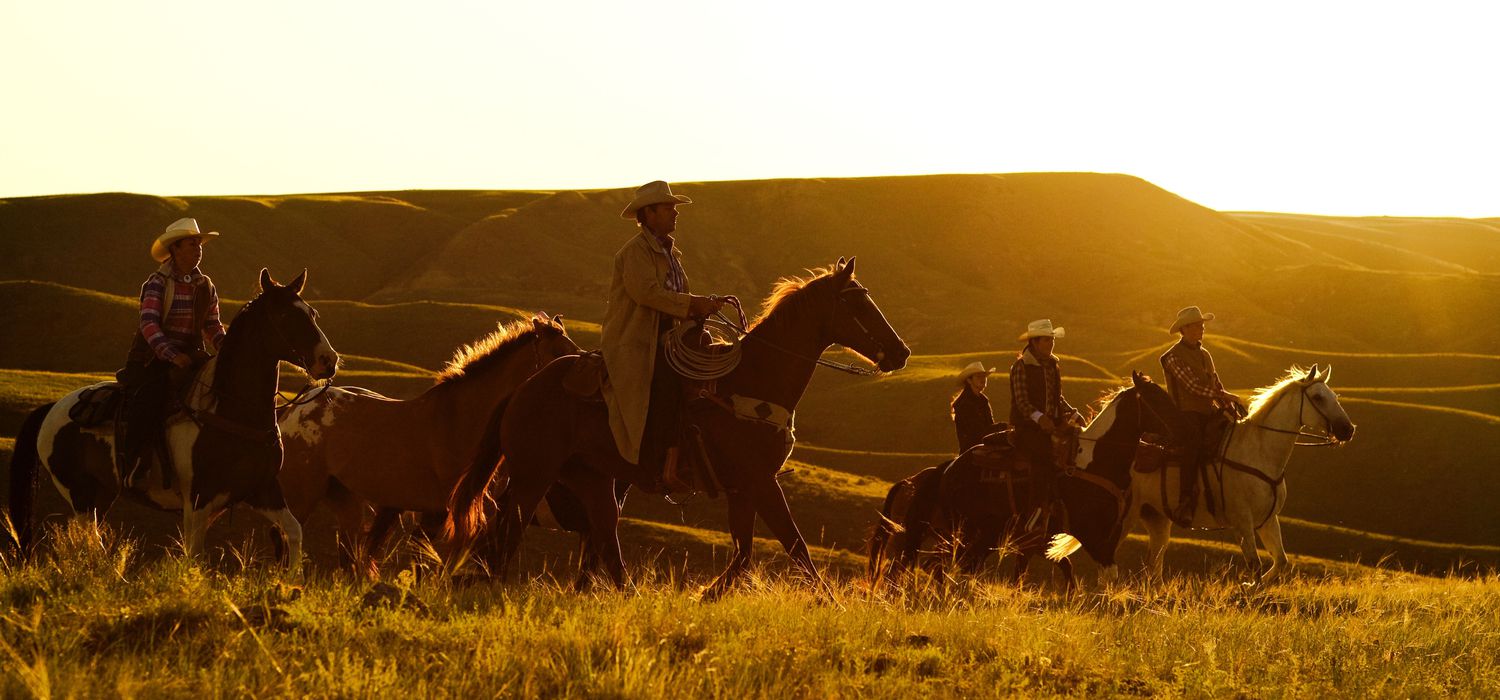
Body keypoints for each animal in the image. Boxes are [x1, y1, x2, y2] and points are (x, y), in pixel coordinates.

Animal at [6, 268, 337, 569]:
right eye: (283, 315)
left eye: (312, 313)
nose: (329, 361)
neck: (230, 411)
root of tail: (53, 408)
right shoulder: (200, 500)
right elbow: (194, 556)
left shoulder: (262, 490)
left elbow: (293, 532)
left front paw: (291, 584)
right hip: (80, 493)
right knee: (87, 540)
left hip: (103, 493)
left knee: (91, 541)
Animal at [279, 313, 582, 575]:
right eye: (559, 352)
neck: (458, 419)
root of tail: (294, 409)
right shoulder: (440, 512)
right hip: (302, 496)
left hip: (343, 498)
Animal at [444, 257, 906, 596]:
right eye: (857, 304)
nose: (900, 351)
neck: (754, 379)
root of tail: (522, 390)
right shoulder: (761, 481)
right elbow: (796, 546)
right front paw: (832, 604)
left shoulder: (743, 488)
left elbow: (745, 552)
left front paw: (707, 597)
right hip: (533, 476)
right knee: (508, 529)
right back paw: (489, 584)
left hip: (592, 479)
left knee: (604, 537)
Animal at [876, 373, 1188, 590]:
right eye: (1157, 399)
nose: (1185, 429)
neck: (1095, 464)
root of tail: (948, 470)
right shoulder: (1092, 535)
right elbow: (1106, 575)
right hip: (967, 532)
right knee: (942, 566)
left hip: (978, 535)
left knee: (947, 566)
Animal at [1128, 364, 1362, 584]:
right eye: (1318, 397)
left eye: (1334, 396)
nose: (1348, 430)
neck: (1259, 452)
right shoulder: (1242, 522)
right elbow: (1254, 564)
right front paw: (1249, 587)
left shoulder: (1268, 520)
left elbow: (1281, 561)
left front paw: (1251, 586)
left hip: (1157, 518)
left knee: (1153, 563)